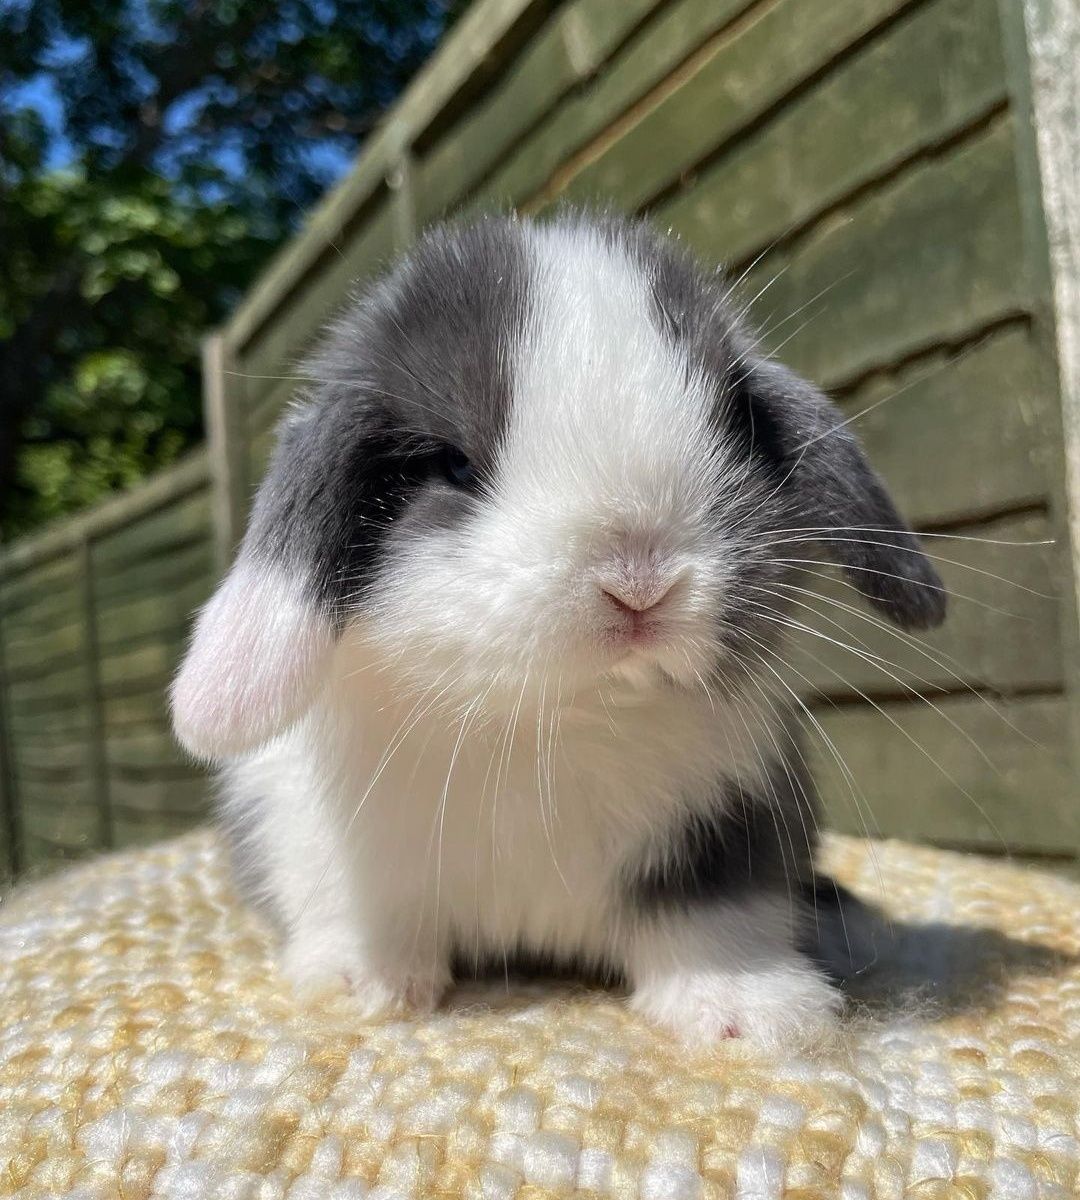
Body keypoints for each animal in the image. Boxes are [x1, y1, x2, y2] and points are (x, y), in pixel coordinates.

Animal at [170, 216, 945, 1051]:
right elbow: (361, 917)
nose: (639, 582)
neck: (547, 722)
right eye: (453, 465)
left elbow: (718, 921)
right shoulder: (316, 845)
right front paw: (360, 987)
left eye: (734, 429)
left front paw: (756, 1014)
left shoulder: (729, 829)